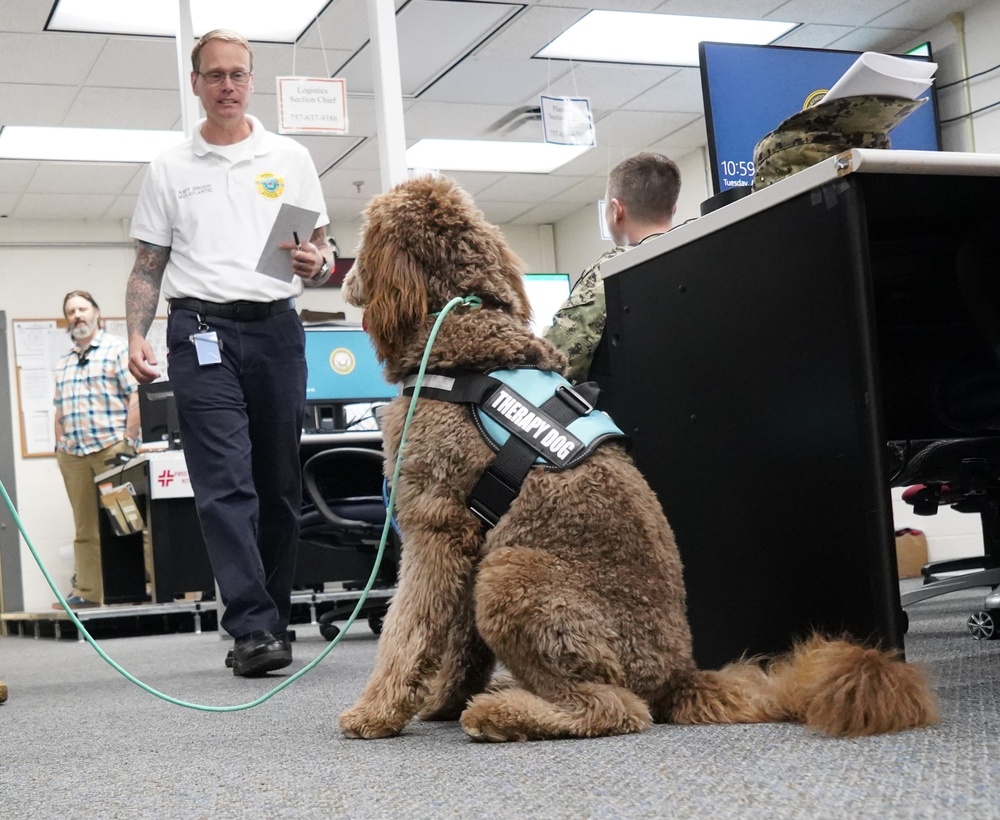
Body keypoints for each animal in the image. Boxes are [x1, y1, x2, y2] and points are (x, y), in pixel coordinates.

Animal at [340, 175, 940, 744]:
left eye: (365, 236)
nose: (343, 278)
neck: (464, 330)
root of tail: (677, 676)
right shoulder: (468, 536)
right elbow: (459, 644)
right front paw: (442, 700)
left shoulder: (434, 526)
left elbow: (405, 630)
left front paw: (376, 713)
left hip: (512, 572)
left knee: (615, 708)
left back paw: (500, 712)